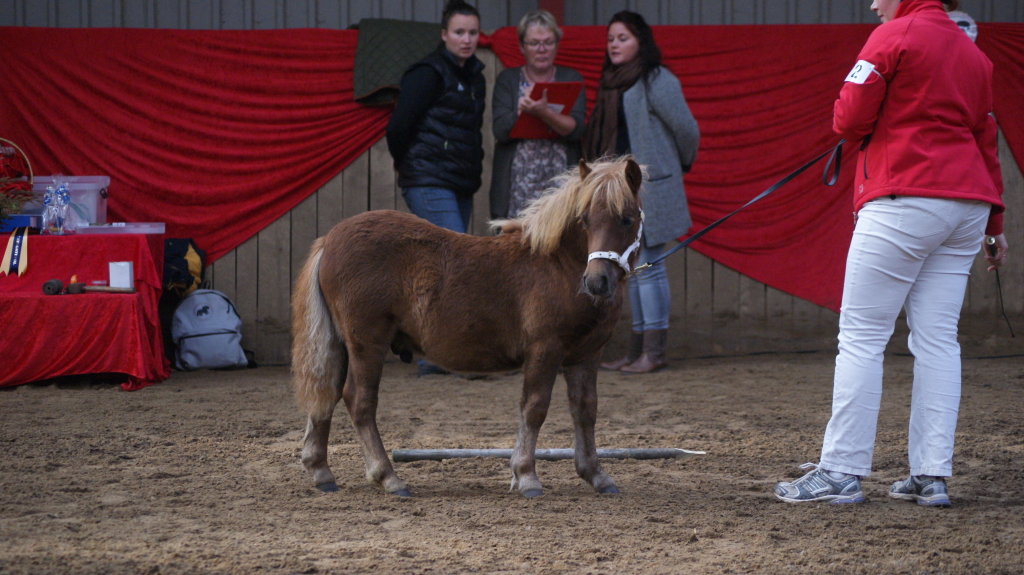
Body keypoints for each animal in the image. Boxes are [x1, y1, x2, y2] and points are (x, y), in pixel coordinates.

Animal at [292, 157, 643, 497]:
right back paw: (388, 477)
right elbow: (534, 408)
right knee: (359, 401)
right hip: (367, 344)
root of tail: (329, 240)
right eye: (584, 219)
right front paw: (526, 476)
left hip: (342, 344)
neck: (557, 265)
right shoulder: (545, 350)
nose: (596, 281)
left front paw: (596, 475)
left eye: (627, 219)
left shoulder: (586, 355)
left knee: (327, 391)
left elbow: (585, 410)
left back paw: (321, 471)